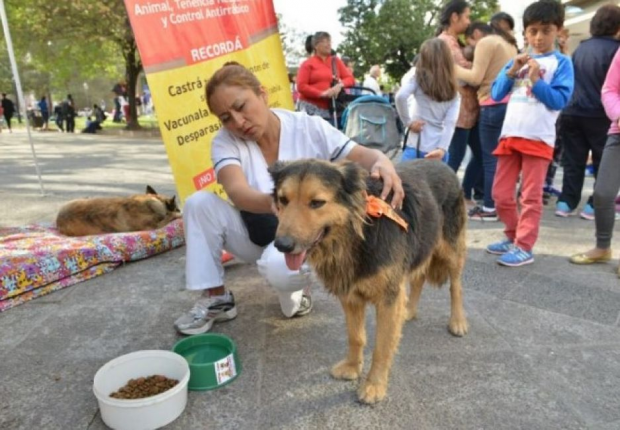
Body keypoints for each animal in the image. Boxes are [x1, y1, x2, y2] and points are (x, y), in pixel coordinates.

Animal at [268, 158, 468, 404]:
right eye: (283, 200)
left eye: (316, 203)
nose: (282, 245)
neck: (358, 233)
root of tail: (442, 162)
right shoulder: (351, 296)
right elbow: (356, 337)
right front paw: (353, 368)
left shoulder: (389, 298)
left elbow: (382, 347)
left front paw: (374, 385)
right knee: (419, 278)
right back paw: (409, 311)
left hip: (451, 250)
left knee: (456, 286)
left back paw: (458, 321)